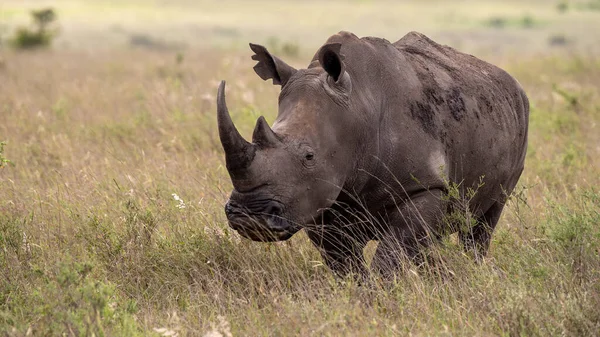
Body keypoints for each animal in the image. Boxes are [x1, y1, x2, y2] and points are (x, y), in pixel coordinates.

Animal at [217, 30, 528, 276]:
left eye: (309, 156)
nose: (248, 217)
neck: (357, 109)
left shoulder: (425, 186)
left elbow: (391, 254)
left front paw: (382, 298)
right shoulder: (315, 198)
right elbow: (347, 267)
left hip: (518, 115)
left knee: (483, 224)